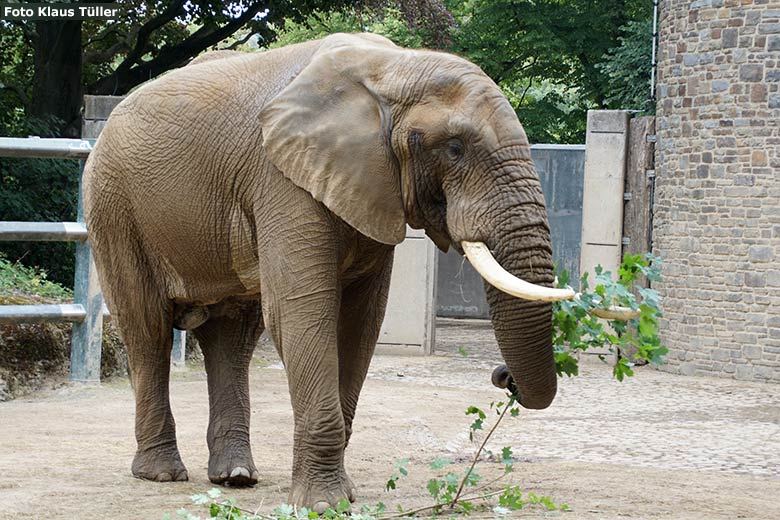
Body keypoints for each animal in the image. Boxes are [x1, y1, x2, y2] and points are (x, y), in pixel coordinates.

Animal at [80, 33, 580, 512]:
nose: (502, 376)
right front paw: (323, 504)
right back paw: (161, 474)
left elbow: (360, 322)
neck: (395, 68)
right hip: (112, 205)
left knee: (232, 337)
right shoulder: (282, 179)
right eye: (455, 148)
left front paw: (343, 495)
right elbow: (301, 311)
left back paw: (235, 477)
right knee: (147, 328)